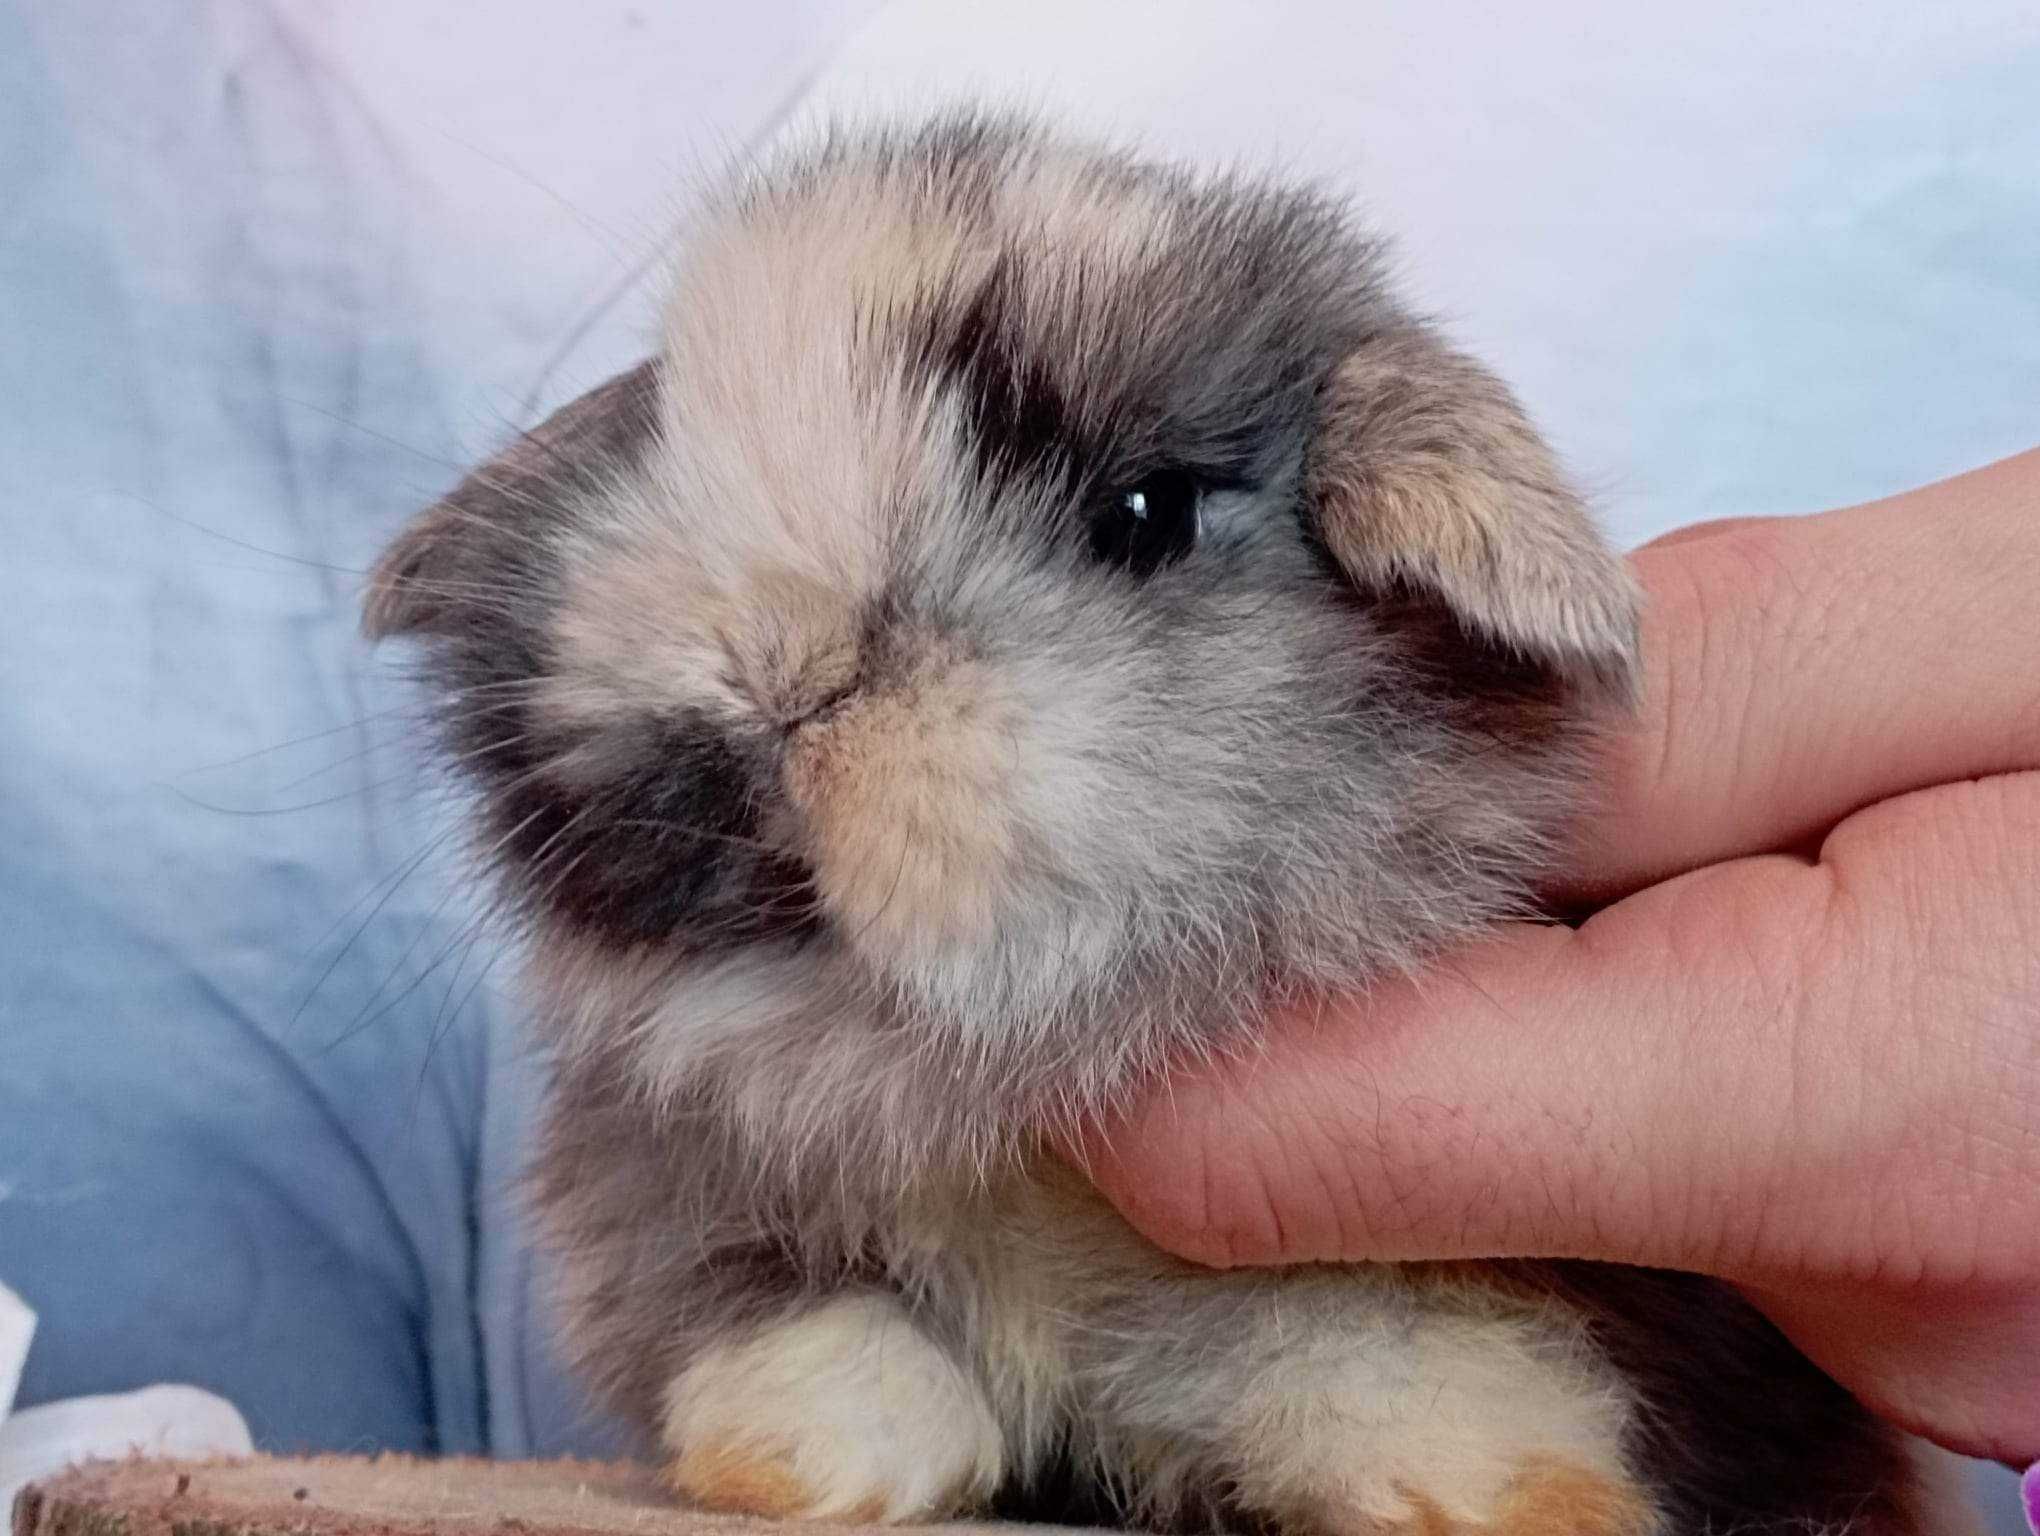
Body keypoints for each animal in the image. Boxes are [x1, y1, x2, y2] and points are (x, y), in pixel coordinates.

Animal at [363, 116, 1958, 1533]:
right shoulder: (668, 1203)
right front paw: (814, 1462)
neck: (976, 1078)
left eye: (1146, 513)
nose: (783, 672)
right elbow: (795, 1326)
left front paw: (1494, 1499)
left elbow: (1417, 1357)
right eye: (669, 420)